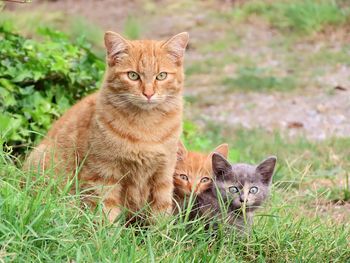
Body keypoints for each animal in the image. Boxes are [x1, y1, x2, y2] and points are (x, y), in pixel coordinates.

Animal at [25, 32, 189, 224]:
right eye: (133, 76)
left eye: (161, 76)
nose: (148, 94)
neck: (146, 127)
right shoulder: (104, 174)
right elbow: (107, 213)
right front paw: (109, 232)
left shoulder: (163, 174)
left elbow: (161, 213)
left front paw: (161, 232)